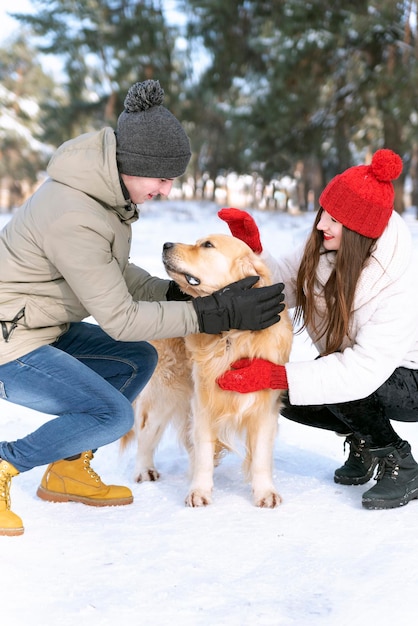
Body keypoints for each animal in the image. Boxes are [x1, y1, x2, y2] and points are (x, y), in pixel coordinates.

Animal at [125, 234, 292, 508]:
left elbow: (260, 458)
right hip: (164, 395)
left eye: (207, 245)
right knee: (146, 435)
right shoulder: (203, 405)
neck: (231, 336)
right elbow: (202, 452)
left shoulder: (264, 408)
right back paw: (143, 470)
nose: (166, 244)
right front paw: (199, 492)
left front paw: (265, 492)